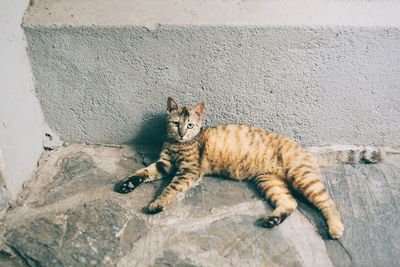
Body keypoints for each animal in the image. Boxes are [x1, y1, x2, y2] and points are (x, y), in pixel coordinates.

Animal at [115, 97, 344, 240]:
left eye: (190, 125)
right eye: (175, 123)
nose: (181, 133)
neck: (177, 144)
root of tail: (304, 149)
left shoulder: (188, 170)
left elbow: (170, 188)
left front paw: (158, 203)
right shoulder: (165, 163)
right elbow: (144, 172)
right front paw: (128, 184)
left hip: (302, 177)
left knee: (329, 203)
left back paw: (336, 228)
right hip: (269, 181)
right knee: (290, 203)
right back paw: (272, 220)